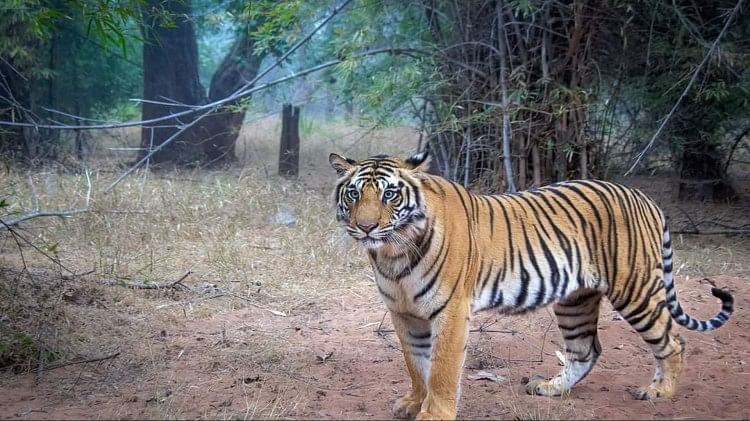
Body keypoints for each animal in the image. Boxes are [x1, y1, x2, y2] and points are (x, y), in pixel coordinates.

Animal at [328, 150, 736, 416]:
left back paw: (659, 391)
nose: (366, 227)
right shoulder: (404, 313)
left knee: (673, 341)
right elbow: (416, 364)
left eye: (390, 194)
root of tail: (643, 197)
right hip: (575, 300)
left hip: (634, 290)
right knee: (586, 350)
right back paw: (551, 388)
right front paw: (414, 402)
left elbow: (441, 369)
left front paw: (434, 413)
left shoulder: (451, 312)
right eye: (354, 193)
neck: (393, 253)